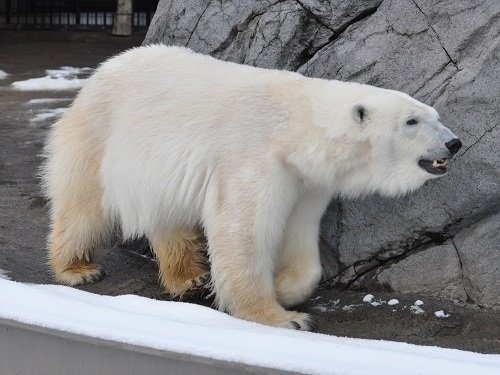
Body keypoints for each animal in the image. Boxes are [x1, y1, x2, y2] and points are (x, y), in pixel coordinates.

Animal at [43, 45, 460, 330]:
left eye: (435, 115)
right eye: (412, 121)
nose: (454, 143)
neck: (294, 125)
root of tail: (102, 70)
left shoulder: (304, 181)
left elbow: (299, 235)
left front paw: (287, 288)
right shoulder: (253, 156)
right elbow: (244, 232)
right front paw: (284, 317)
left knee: (167, 215)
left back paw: (189, 278)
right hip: (99, 136)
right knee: (84, 205)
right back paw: (78, 268)